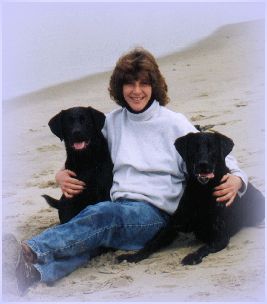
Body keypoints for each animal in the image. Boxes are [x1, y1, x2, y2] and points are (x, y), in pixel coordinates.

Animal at [119, 132, 266, 264]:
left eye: (212, 148)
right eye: (194, 148)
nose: (203, 164)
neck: (202, 192)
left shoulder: (220, 236)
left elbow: (204, 247)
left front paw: (192, 257)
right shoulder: (173, 225)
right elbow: (152, 243)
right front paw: (132, 256)